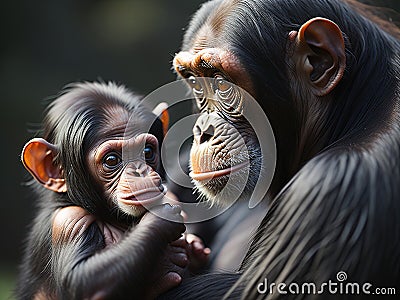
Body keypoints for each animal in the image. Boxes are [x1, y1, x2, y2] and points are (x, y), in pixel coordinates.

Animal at [16, 82, 208, 300]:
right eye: (112, 160)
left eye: (147, 151)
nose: (140, 172)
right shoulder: (66, 222)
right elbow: (83, 280)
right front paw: (162, 217)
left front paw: (194, 247)